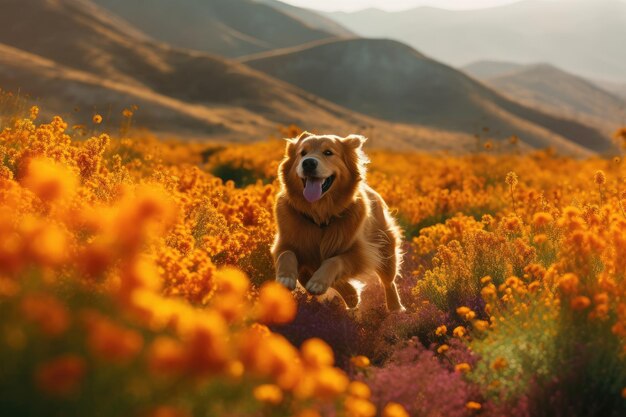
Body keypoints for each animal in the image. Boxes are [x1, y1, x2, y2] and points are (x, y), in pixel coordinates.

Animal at [270, 132, 402, 310]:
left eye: (328, 152)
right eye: (302, 153)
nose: (308, 163)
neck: (320, 216)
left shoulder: (362, 252)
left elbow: (334, 261)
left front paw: (319, 282)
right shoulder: (284, 243)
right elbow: (287, 255)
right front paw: (286, 277)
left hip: (385, 249)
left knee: (389, 282)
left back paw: (396, 309)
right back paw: (351, 296)